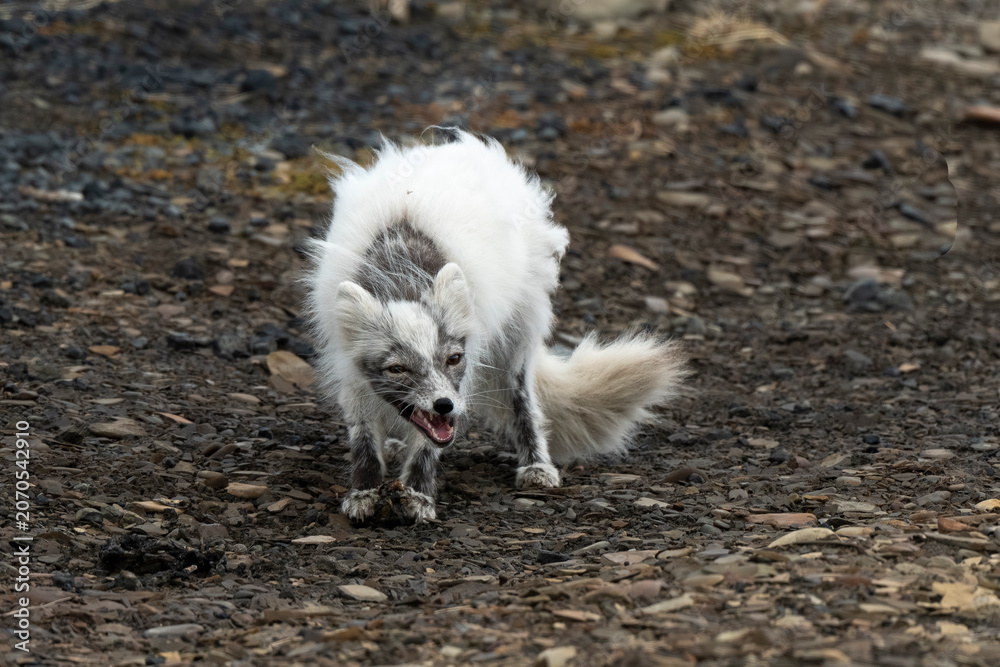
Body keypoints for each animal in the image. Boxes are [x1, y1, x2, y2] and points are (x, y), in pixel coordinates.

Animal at [306, 130, 687, 523]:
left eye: (453, 359)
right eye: (397, 369)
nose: (444, 405)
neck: (401, 276)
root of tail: (453, 146)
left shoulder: (464, 373)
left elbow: (429, 444)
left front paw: (418, 496)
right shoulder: (349, 368)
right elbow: (364, 438)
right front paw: (364, 492)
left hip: (520, 334)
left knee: (524, 399)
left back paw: (536, 465)